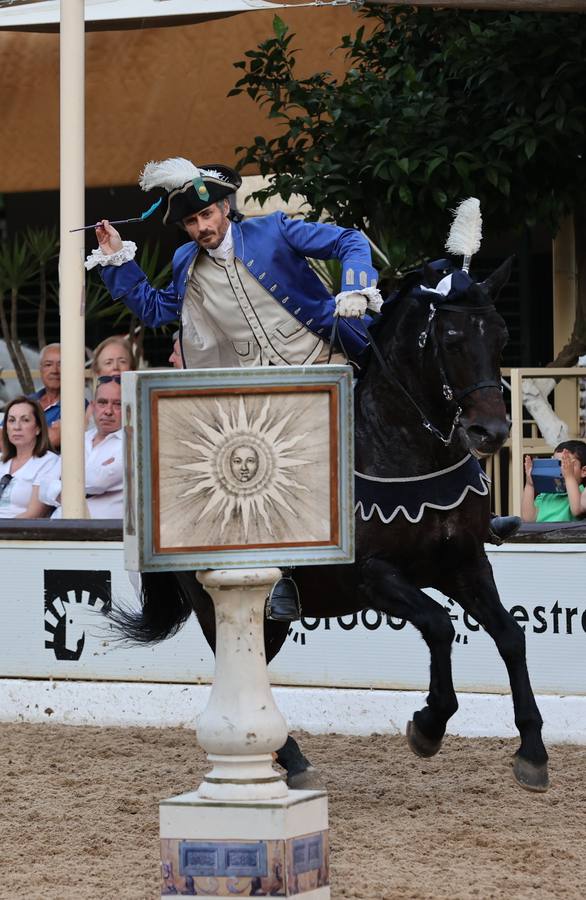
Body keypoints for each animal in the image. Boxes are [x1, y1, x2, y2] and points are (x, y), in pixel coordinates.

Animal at [115, 260, 548, 796]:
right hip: (228, 608)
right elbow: (439, 626)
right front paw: (428, 726)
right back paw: (290, 760)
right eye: (449, 338)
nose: (492, 432)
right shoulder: (372, 577)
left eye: (502, 337)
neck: (400, 450)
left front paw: (532, 752)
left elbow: (511, 635)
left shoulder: (464, 563)